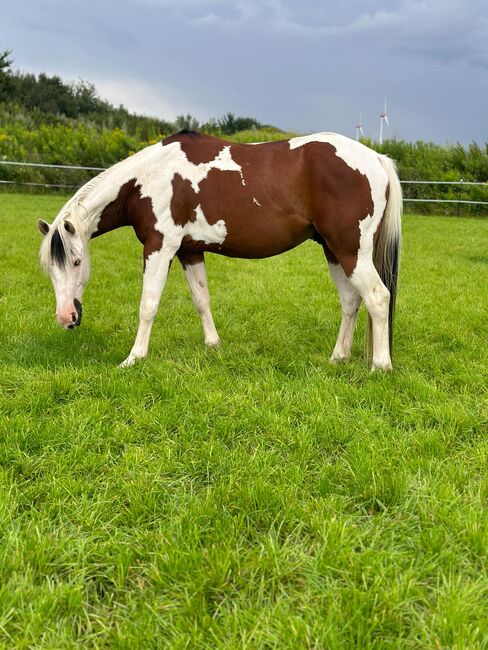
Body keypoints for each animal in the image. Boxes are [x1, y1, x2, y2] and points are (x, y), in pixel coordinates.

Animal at [38, 129, 402, 370]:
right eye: (49, 268)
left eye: (77, 261)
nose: (66, 318)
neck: (149, 178)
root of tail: (376, 159)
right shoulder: (189, 251)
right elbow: (201, 299)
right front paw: (213, 346)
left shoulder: (160, 247)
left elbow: (148, 305)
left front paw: (134, 358)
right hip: (334, 250)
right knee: (351, 301)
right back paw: (338, 357)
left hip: (350, 251)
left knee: (377, 297)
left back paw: (380, 366)